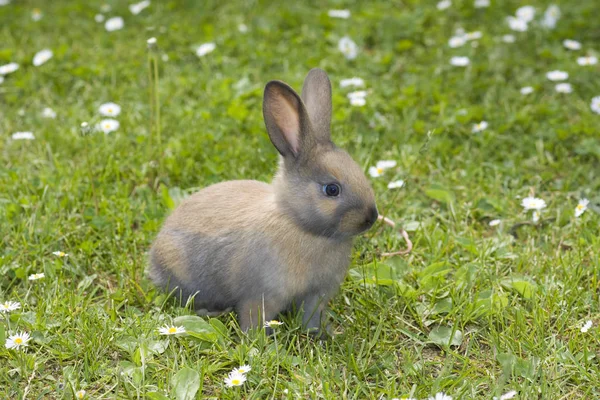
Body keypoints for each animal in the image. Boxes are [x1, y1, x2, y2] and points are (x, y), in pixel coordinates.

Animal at [148, 69, 378, 334]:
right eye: (332, 189)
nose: (372, 217)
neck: (300, 226)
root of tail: (154, 257)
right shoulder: (261, 296)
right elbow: (254, 318)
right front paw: (259, 340)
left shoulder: (315, 295)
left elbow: (310, 317)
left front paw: (320, 334)